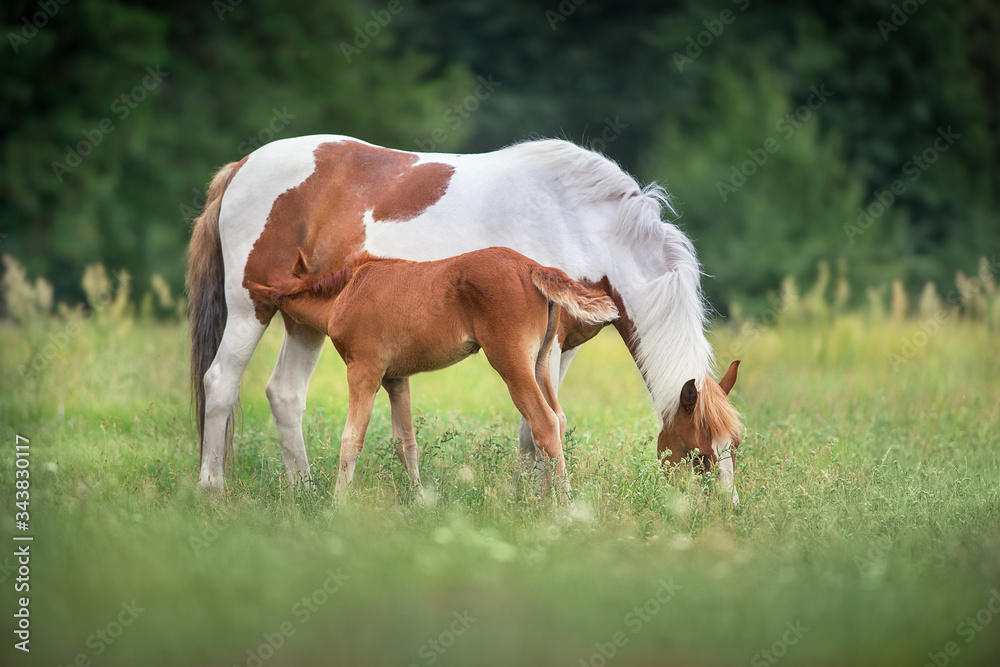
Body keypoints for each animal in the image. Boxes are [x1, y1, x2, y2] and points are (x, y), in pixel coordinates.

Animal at [246, 247, 618, 496]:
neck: (345, 293)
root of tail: (533, 267)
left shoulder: (364, 371)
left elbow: (351, 439)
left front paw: (338, 504)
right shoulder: (396, 378)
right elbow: (405, 442)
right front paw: (419, 499)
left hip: (511, 361)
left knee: (545, 423)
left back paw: (563, 508)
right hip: (539, 361)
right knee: (559, 418)